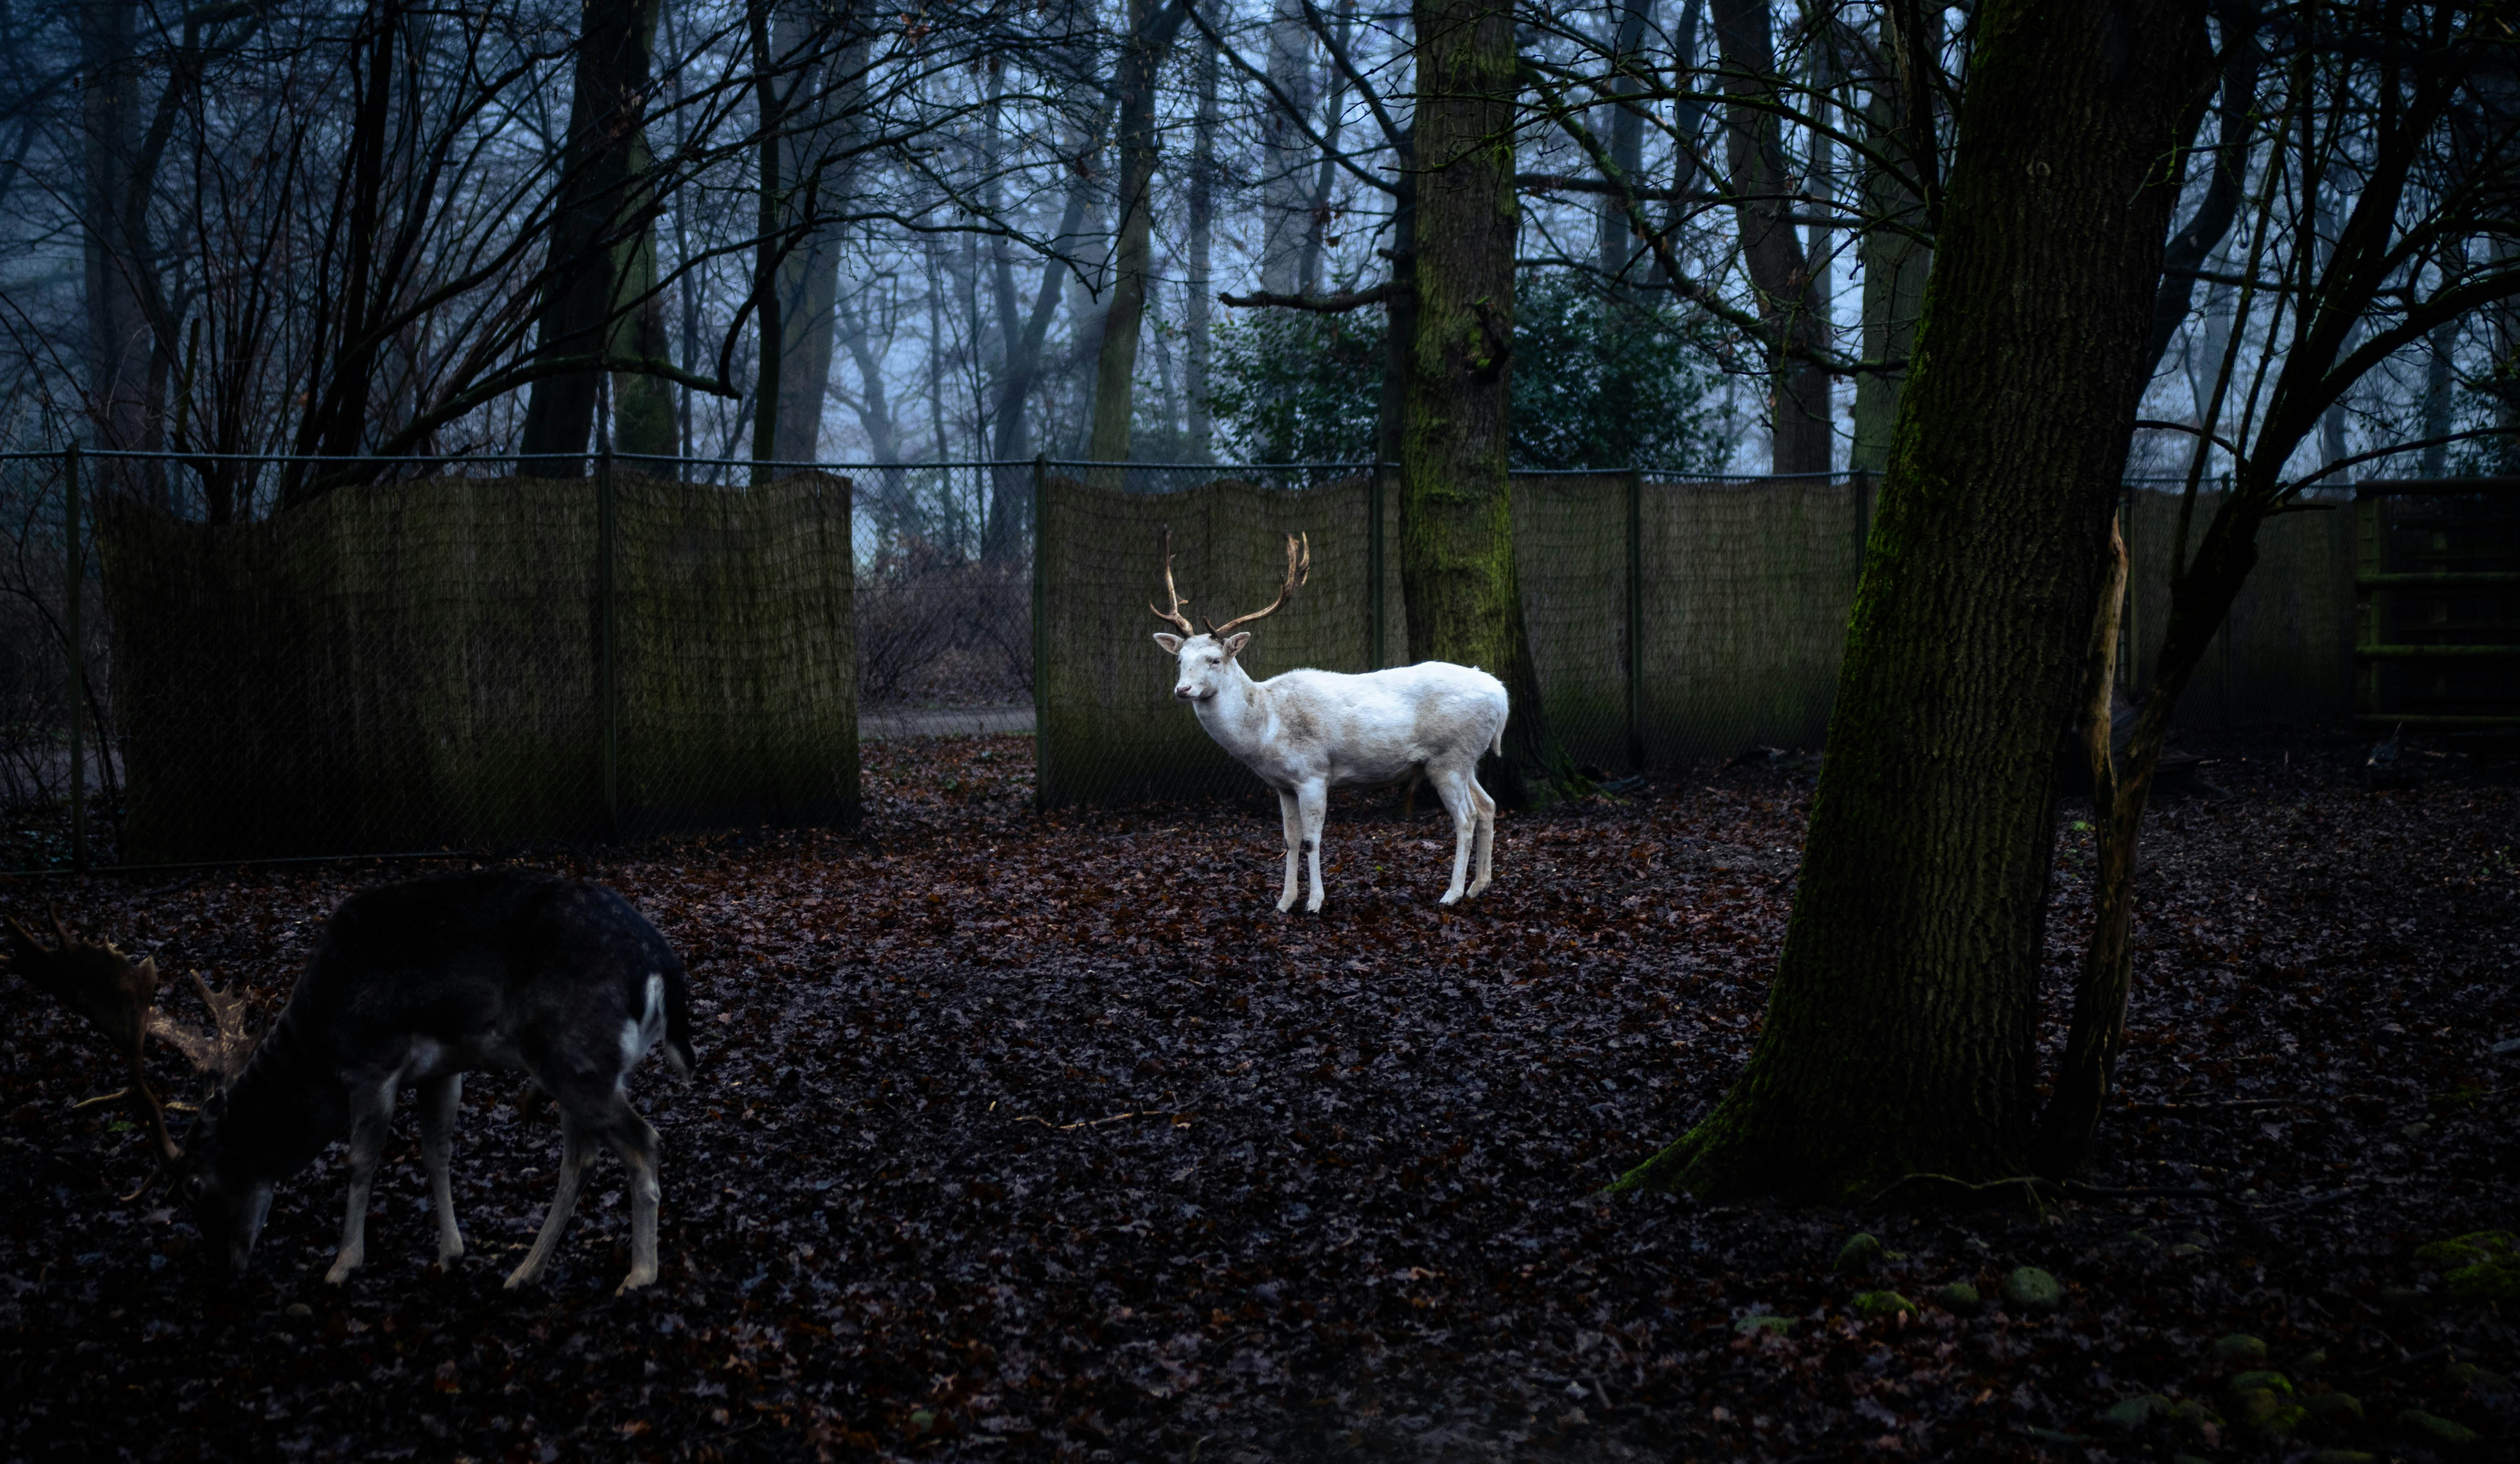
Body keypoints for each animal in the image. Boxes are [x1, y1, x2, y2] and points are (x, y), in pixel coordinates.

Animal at [2, 869, 694, 1294]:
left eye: (194, 1187)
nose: (225, 1270)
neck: (317, 1039)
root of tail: (663, 965)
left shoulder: (371, 1062)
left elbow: (360, 1161)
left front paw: (341, 1263)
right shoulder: (441, 1068)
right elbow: (436, 1152)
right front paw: (451, 1251)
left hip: (575, 1054)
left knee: (644, 1142)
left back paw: (639, 1272)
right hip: (575, 1065)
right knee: (582, 1158)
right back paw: (525, 1270)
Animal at [1150, 528, 1510, 912]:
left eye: (1215, 659)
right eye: (1180, 660)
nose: (1183, 689)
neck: (1265, 729)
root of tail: (1501, 696)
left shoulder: (1313, 774)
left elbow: (1311, 839)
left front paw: (1314, 903)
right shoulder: (1282, 784)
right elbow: (1289, 840)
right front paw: (1283, 903)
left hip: (1449, 758)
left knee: (1466, 817)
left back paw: (1452, 894)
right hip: (1466, 759)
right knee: (1488, 806)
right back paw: (1478, 886)